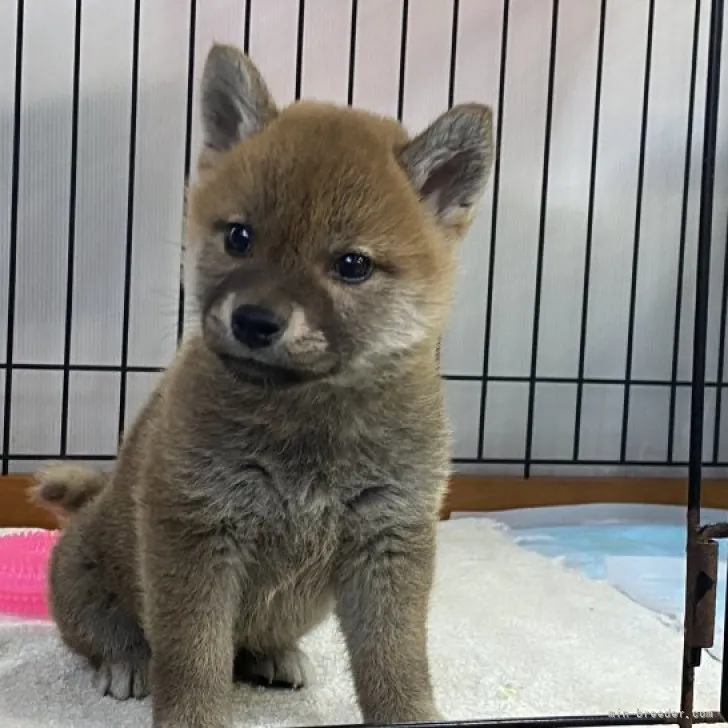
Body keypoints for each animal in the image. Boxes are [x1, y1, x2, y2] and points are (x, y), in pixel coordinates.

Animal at [29, 44, 494, 728]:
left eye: (351, 265)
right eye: (239, 236)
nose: (254, 320)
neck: (308, 418)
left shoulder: (389, 539)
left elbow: (397, 661)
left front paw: (409, 713)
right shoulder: (195, 530)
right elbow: (194, 656)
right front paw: (192, 717)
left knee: (256, 641)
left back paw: (275, 655)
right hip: (80, 571)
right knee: (106, 634)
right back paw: (126, 661)